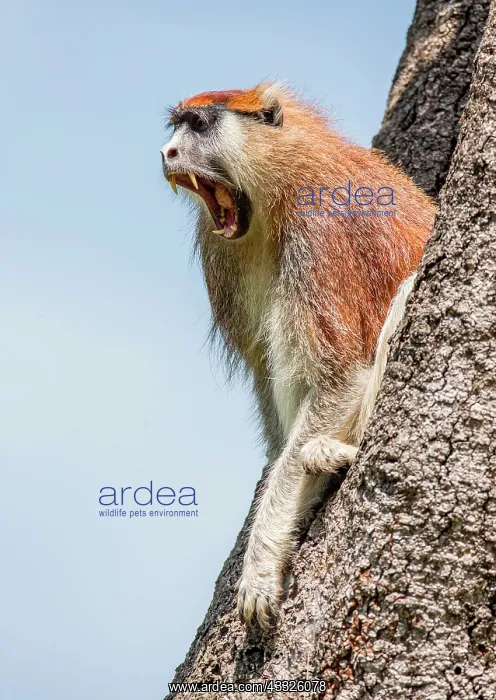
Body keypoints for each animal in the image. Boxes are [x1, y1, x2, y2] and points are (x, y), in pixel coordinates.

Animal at [160, 83, 435, 630]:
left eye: (199, 125)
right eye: (175, 126)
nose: (167, 153)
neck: (280, 184)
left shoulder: (319, 231)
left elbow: (340, 375)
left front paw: (261, 561)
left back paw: (334, 452)